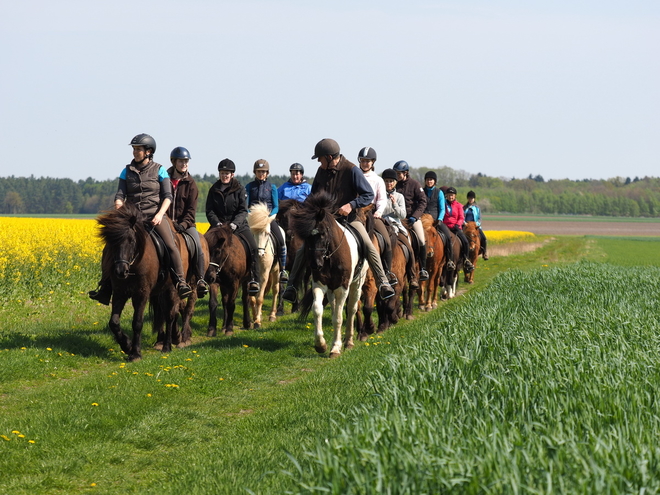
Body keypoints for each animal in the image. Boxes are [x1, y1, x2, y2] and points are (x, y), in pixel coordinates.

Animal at [96, 203, 183, 362]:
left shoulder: (141, 294)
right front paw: (127, 346)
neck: (134, 264)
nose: (121, 271)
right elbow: (114, 322)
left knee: (170, 316)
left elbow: (137, 322)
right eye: (111, 242)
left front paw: (135, 353)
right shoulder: (120, 292)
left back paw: (167, 346)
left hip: (171, 289)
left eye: (131, 240)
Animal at [292, 192, 368, 358]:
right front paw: (321, 345)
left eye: (323, 233)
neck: (330, 258)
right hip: (332, 290)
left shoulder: (343, 288)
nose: (315, 264)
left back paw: (349, 342)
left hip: (357, 283)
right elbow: (317, 310)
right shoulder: (320, 284)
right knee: (334, 308)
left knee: (351, 309)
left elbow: (338, 318)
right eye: (307, 237)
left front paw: (335, 348)